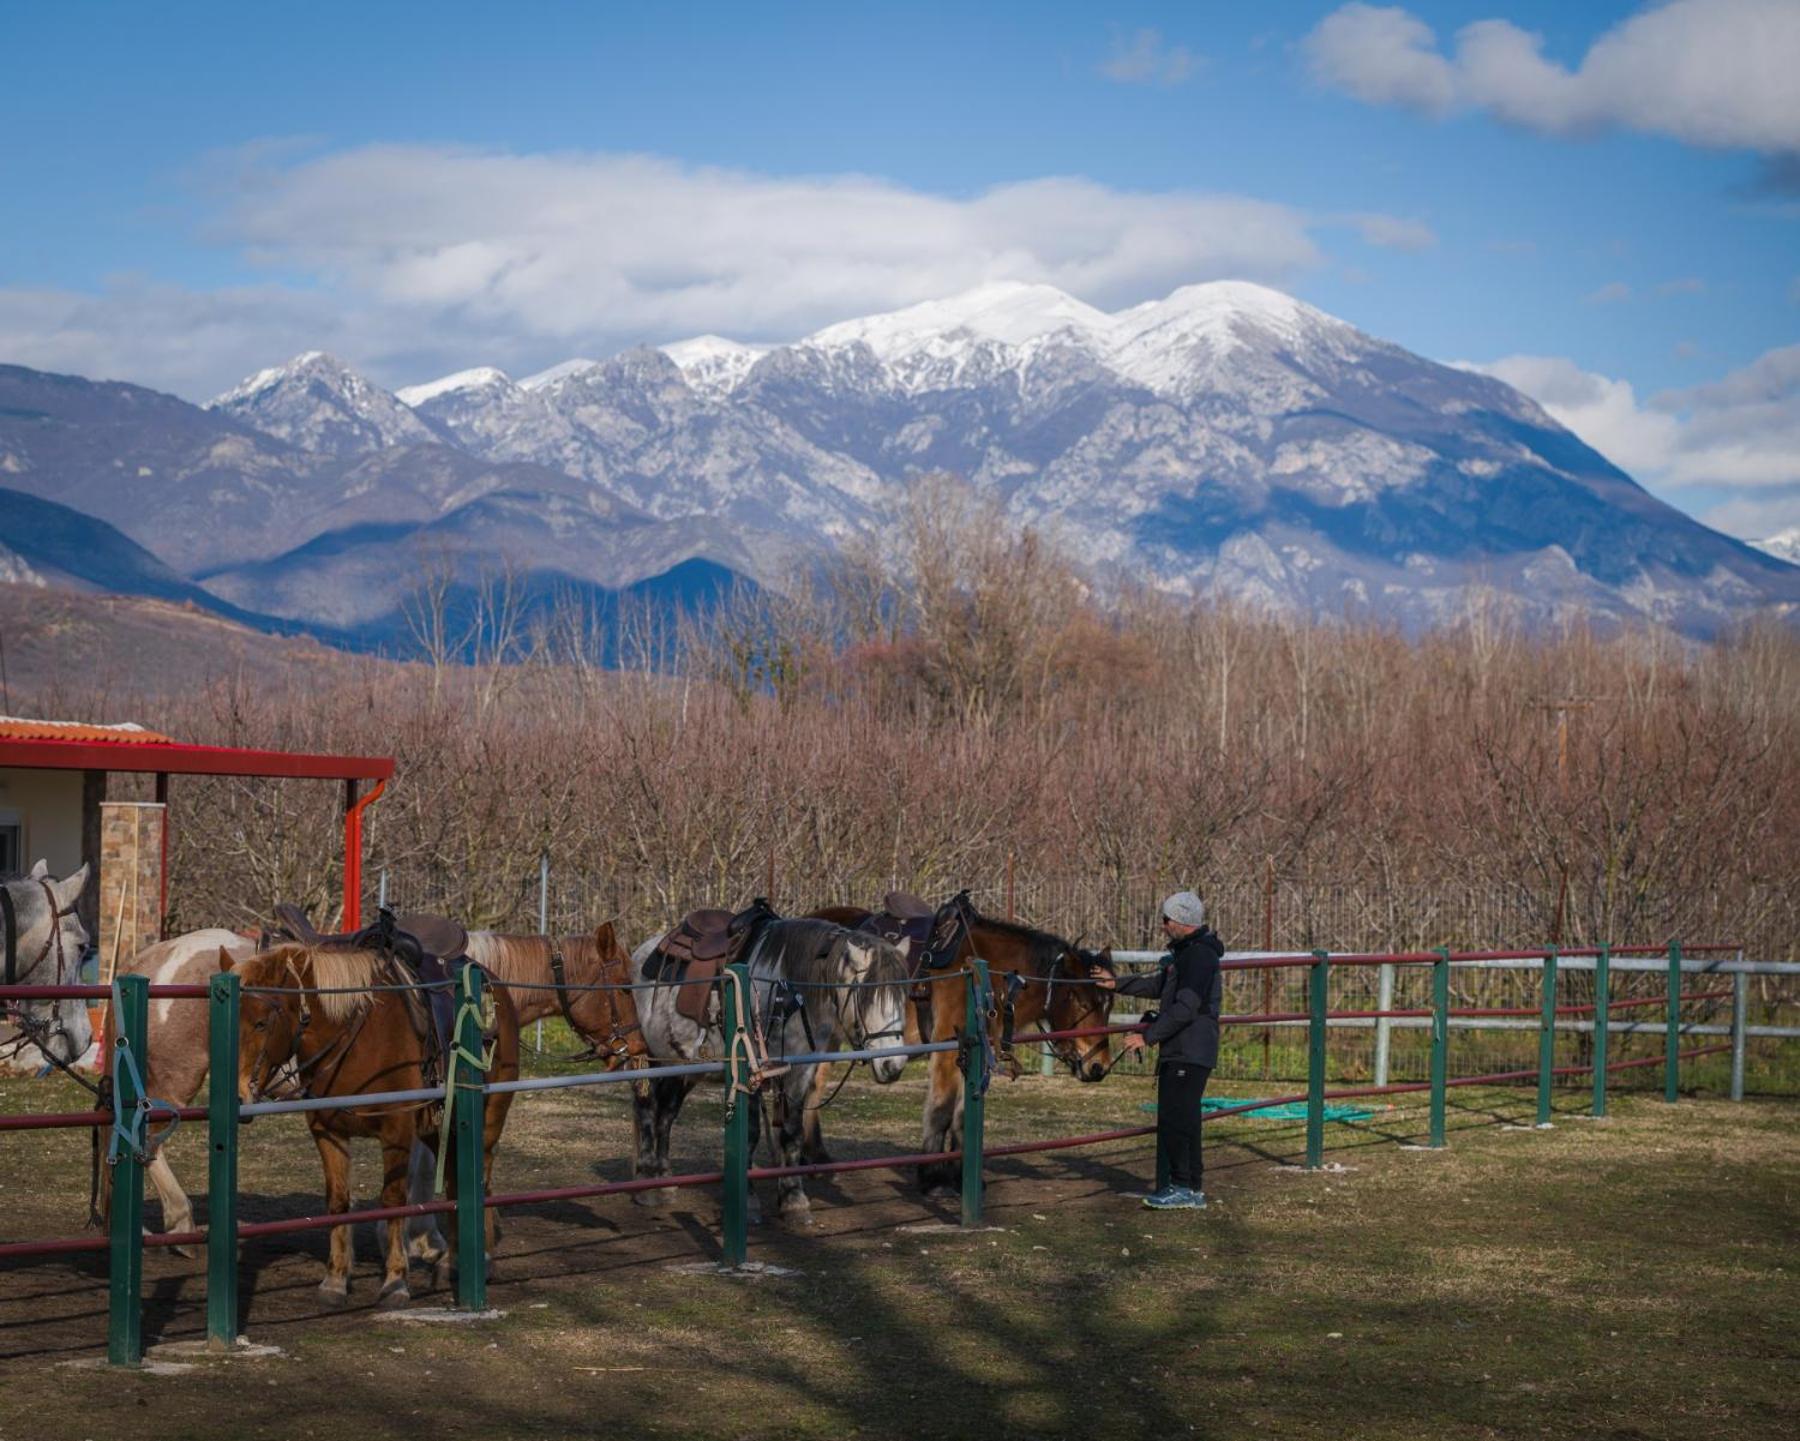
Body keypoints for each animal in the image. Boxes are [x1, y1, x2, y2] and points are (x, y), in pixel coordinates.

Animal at [229, 942, 520, 1308]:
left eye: (261, 1023)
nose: (239, 1095)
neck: (355, 1039)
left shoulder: (397, 1130)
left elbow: (393, 1199)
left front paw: (395, 1281)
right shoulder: (327, 1132)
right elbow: (338, 1200)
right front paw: (335, 1279)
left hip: (489, 1119)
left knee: (481, 1179)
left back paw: (483, 1258)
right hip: (441, 1128)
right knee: (457, 1181)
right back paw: (454, 1262)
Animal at [629, 916, 910, 1222]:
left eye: (902, 996)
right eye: (867, 995)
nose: (893, 1066)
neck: (788, 994)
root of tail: (640, 951)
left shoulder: (799, 1073)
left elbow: (791, 1132)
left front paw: (793, 1197)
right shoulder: (752, 1073)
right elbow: (751, 1132)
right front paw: (749, 1199)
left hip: (683, 1069)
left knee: (666, 1115)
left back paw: (665, 1178)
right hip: (648, 1061)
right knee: (646, 1109)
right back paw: (646, 1183)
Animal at [816, 897, 1116, 1193]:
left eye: (1108, 1005)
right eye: (1083, 1003)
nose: (1098, 1066)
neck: (983, 977)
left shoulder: (976, 1057)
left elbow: (962, 1116)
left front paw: (961, 1176)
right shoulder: (947, 1053)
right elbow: (941, 1112)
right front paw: (933, 1178)